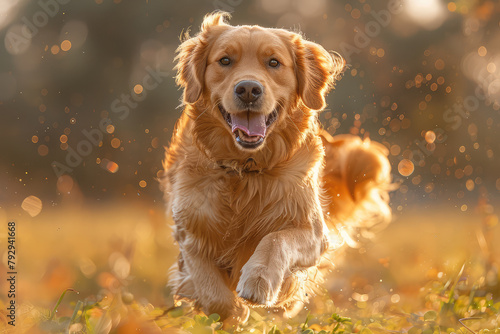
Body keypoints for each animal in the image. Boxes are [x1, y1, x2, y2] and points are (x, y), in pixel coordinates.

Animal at [162, 11, 392, 324]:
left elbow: (275, 240)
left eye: (273, 63)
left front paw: (259, 281)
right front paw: (234, 313)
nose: (248, 89)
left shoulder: (312, 231)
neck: (245, 169)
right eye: (225, 60)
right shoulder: (189, 230)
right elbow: (209, 287)